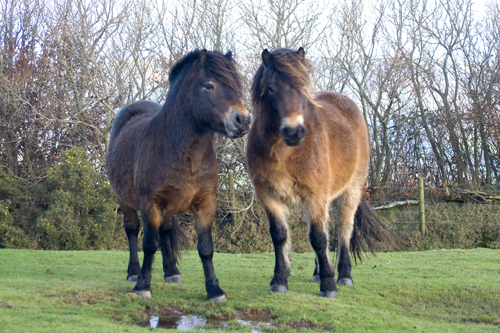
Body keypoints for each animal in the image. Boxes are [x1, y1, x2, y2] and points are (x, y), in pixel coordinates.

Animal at [108, 49, 252, 300]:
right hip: (126, 201)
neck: (186, 155)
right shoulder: (150, 203)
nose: (242, 120)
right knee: (132, 231)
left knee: (165, 231)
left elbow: (205, 247)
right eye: (209, 85)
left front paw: (214, 289)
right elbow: (149, 244)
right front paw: (143, 286)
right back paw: (134, 272)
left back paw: (172, 272)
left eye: (236, 86)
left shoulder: (206, 202)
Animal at [248, 47, 388, 298]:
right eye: (271, 88)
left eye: (303, 87)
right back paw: (317, 272)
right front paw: (279, 279)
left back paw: (344, 275)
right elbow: (280, 236)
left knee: (343, 230)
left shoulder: (315, 196)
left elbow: (319, 237)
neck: (286, 152)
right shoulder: (269, 196)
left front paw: (329, 284)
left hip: (350, 191)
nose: (294, 131)